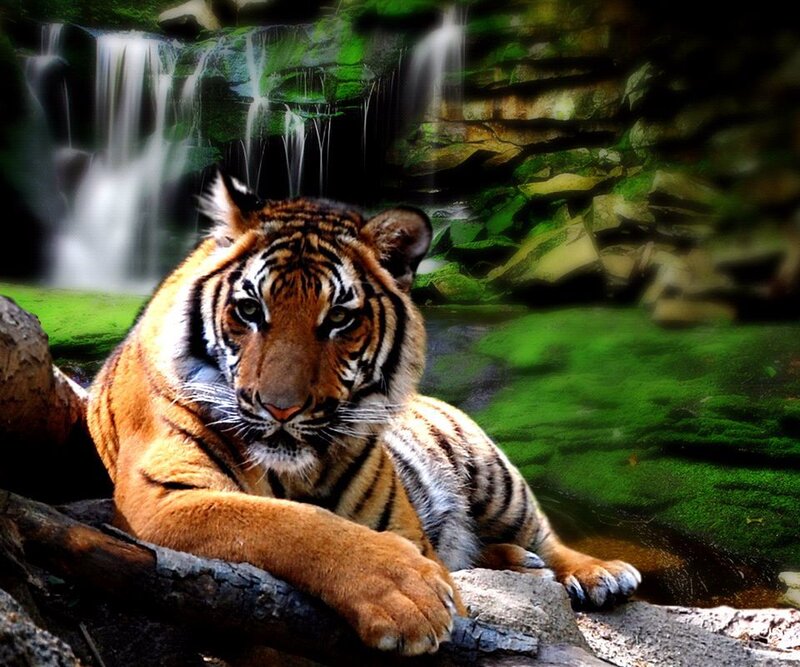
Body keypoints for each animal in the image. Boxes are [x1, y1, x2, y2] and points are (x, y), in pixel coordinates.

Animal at [87, 172, 640, 657]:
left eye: (338, 318)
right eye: (249, 311)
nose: (280, 407)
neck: (296, 471)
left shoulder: (411, 530)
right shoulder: (160, 495)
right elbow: (280, 520)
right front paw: (407, 594)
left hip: (493, 475)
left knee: (541, 534)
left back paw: (598, 573)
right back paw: (521, 565)